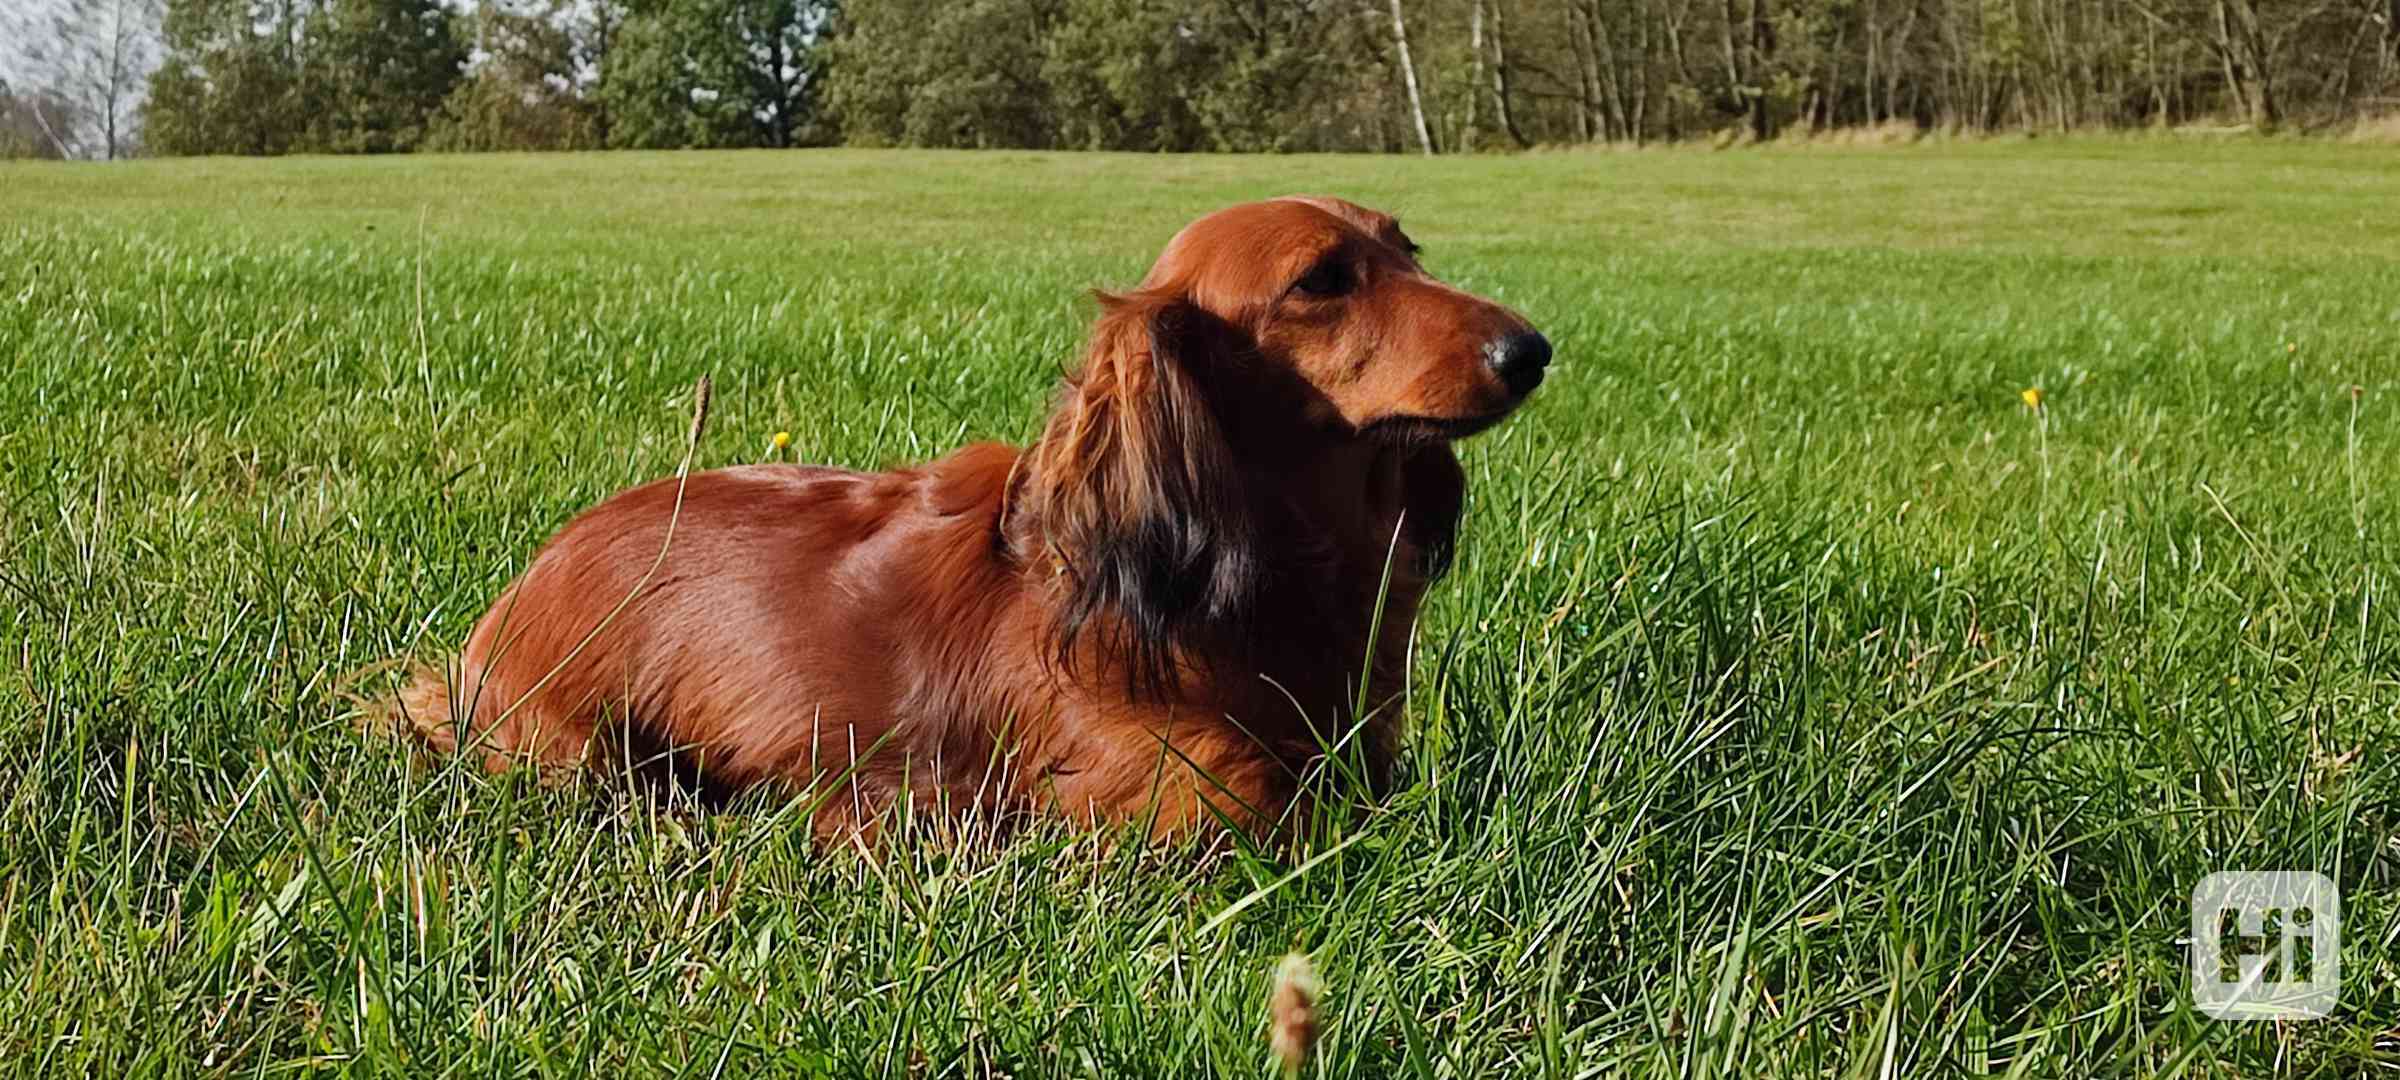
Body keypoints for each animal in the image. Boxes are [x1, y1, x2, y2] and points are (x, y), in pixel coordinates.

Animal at [388, 195, 1555, 844]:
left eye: (1408, 249)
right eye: (1321, 280)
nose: (1534, 349)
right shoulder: (1172, 795)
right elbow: (1272, 805)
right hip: (577, 750)